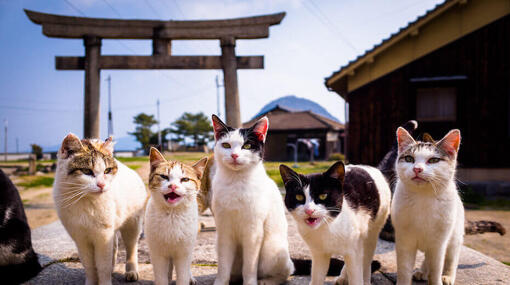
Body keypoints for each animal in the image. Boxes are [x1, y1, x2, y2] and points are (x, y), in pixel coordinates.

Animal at [53, 134, 147, 284]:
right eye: (87, 171)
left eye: (107, 171)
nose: (102, 185)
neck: (86, 201)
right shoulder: (81, 238)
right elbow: (89, 265)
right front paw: (91, 281)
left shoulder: (103, 236)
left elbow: (103, 265)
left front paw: (104, 281)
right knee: (114, 247)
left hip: (132, 224)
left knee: (131, 247)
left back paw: (131, 271)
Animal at [143, 148, 207, 284]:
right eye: (164, 176)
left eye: (185, 179)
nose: (173, 186)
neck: (172, 214)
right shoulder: (158, 254)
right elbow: (161, 277)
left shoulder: (183, 253)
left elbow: (182, 275)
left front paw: (186, 278)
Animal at [209, 114, 292, 284]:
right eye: (226, 145)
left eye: (247, 146)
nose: (234, 155)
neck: (236, 181)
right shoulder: (224, 230)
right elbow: (223, 265)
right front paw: (220, 281)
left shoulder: (253, 232)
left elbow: (249, 266)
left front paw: (250, 282)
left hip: (272, 250)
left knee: (285, 273)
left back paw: (265, 281)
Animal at [390, 128, 466, 284]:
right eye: (409, 159)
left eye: (433, 160)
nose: (417, 169)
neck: (423, 197)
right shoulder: (404, 240)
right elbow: (404, 269)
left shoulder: (439, 243)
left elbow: (436, 268)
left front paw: (437, 280)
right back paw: (422, 272)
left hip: (454, 237)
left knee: (451, 258)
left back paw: (447, 276)